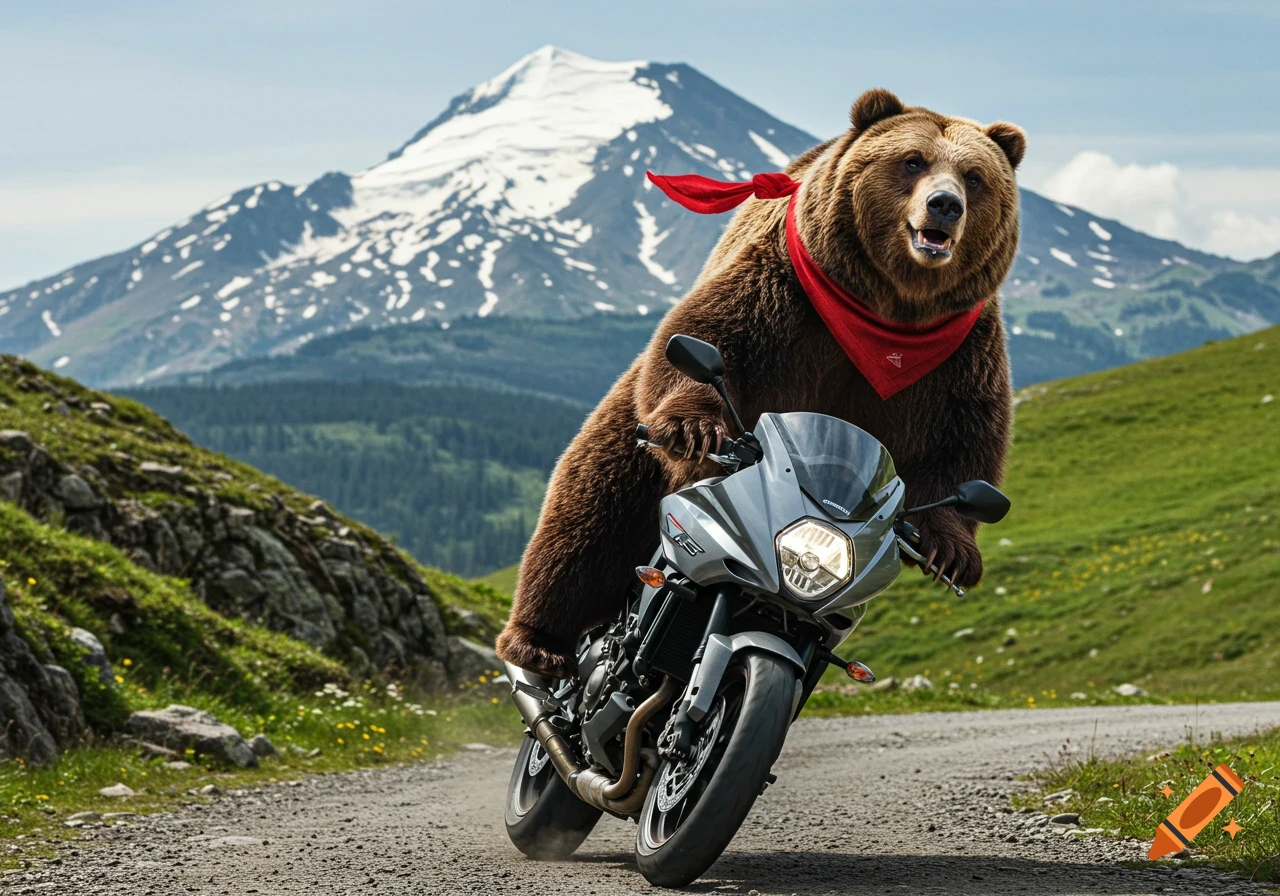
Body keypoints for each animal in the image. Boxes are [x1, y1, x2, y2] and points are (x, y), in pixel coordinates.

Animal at [496, 88, 1025, 679]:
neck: (888, 310)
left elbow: (965, 438)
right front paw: (694, 427)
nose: (944, 204)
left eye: (975, 176)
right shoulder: (786, 294)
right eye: (913, 161)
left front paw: (950, 550)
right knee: (593, 506)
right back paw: (538, 645)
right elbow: (711, 335)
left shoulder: (960, 351)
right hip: (631, 451)